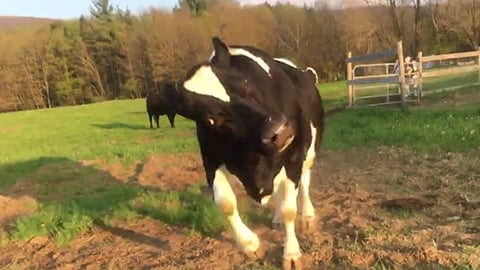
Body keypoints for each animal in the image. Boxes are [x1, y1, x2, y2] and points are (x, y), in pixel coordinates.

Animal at [167, 37, 324, 268]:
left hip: (309, 152)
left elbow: (290, 209)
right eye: (211, 117)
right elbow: (226, 204)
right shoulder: (211, 161)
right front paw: (250, 245)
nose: (278, 131)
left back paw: (307, 216)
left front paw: (291, 254)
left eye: (247, 84)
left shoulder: (293, 156)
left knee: (305, 181)